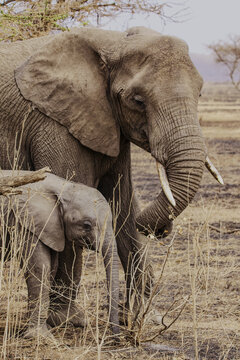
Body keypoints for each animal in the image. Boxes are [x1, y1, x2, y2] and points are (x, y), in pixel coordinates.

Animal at [0, 172, 120, 338]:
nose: (116, 336)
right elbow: (40, 267)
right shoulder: (24, 222)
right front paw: (40, 336)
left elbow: (55, 265)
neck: (64, 187)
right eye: (86, 225)